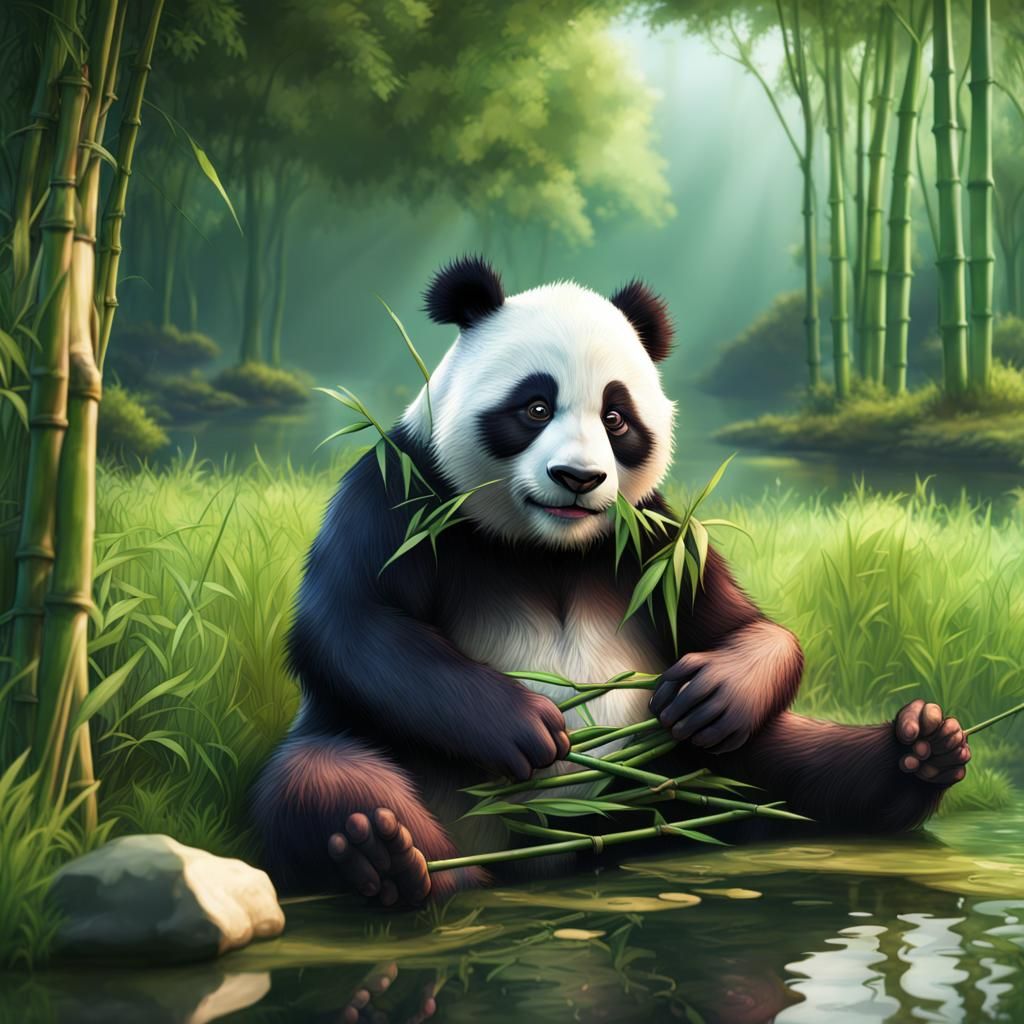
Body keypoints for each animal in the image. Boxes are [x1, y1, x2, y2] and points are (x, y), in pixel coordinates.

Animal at [252, 256, 971, 905]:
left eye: (615, 418)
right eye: (535, 407)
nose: (579, 478)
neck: (549, 545)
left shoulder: (659, 540)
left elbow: (747, 626)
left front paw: (716, 689)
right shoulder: (402, 493)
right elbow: (351, 624)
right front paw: (523, 725)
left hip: (681, 767)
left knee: (785, 764)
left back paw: (919, 751)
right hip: (400, 765)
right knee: (320, 779)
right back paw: (399, 859)